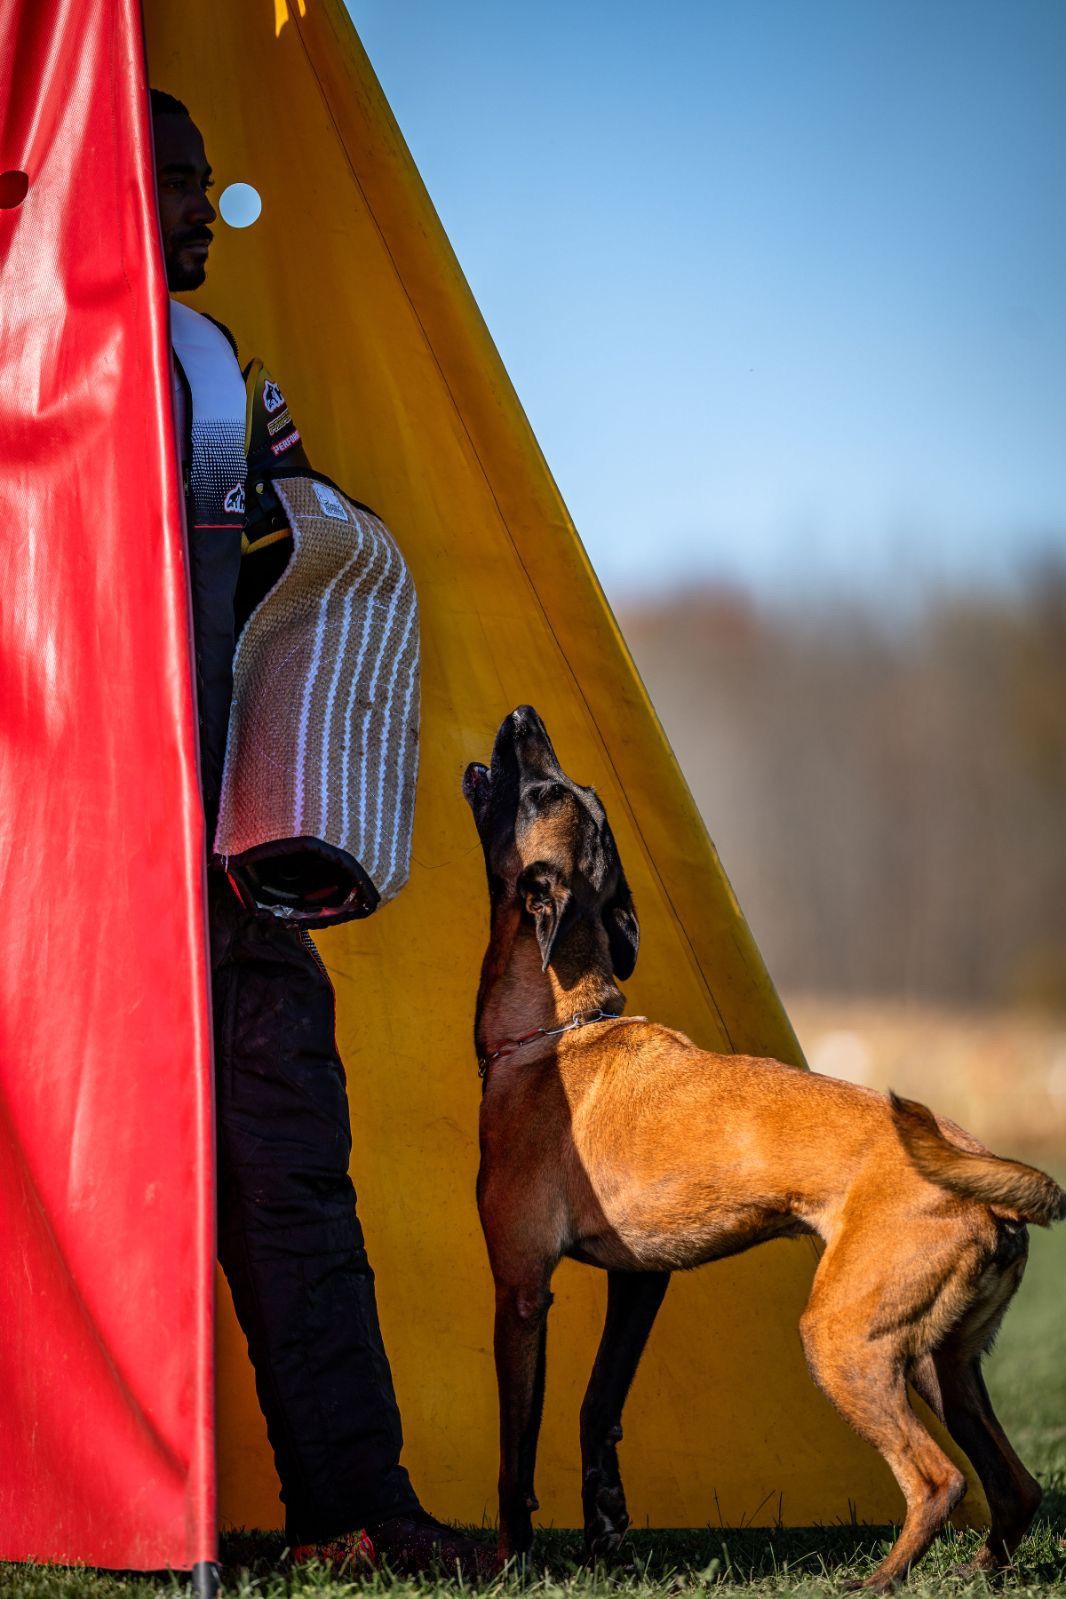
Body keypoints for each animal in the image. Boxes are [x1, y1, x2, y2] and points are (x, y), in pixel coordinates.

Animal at [463, 709, 1061, 1586]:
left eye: (544, 792)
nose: (522, 717)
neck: (557, 1028)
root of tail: (978, 1168)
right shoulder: (639, 1281)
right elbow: (597, 1405)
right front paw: (604, 1523)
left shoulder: (519, 1290)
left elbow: (515, 1451)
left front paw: (512, 1559)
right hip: (938, 1360)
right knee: (1015, 1485)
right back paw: (977, 1573)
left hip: (845, 1341)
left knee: (939, 1479)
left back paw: (878, 1581)